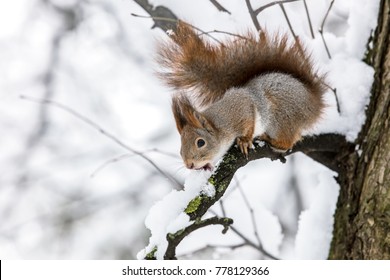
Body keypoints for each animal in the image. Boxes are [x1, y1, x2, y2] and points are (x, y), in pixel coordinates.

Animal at [156, 21, 326, 171]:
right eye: (180, 148)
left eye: (200, 143)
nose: (189, 165)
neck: (220, 125)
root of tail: (313, 104)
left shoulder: (242, 108)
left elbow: (249, 122)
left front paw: (244, 141)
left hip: (283, 116)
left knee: (286, 143)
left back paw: (267, 138)